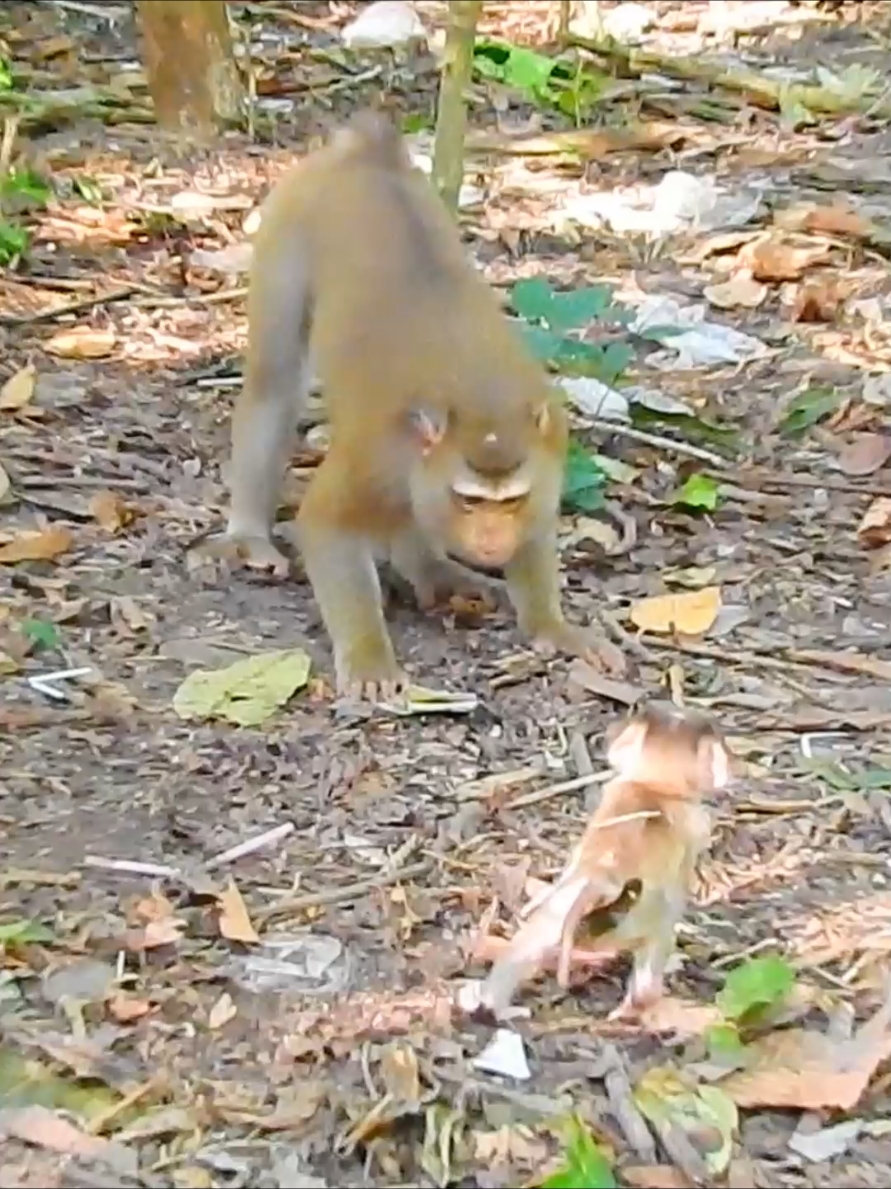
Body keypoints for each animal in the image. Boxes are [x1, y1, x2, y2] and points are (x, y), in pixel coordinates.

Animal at [211, 108, 609, 699]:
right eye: (470, 500)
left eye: (509, 501)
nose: (492, 539)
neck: (481, 394)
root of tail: (365, 153)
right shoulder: (375, 455)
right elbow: (326, 524)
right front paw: (369, 656)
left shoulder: (551, 443)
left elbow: (536, 527)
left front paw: (552, 625)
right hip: (287, 225)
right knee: (273, 382)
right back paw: (250, 534)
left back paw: (430, 568)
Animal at [480, 703, 728, 1022]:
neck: (654, 785)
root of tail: (601, 874)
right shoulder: (695, 828)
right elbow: (674, 899)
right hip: (634, 918)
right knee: (655, 934)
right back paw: (636, 1004)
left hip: (573, 901)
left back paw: (494, 1002)